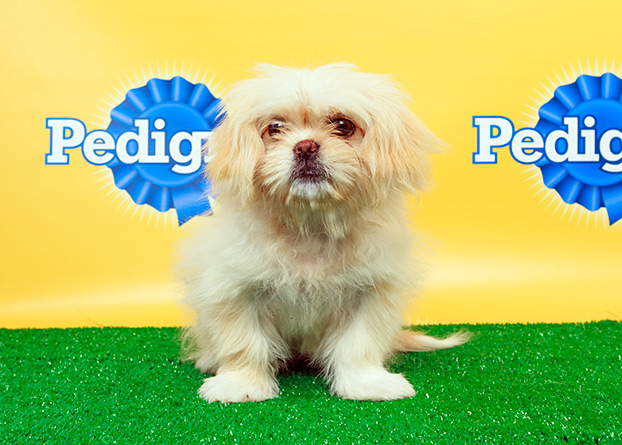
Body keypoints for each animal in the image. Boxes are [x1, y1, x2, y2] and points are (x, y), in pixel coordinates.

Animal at [178, 63, 469, 403]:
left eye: (343, 125)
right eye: (275, 127)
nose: (305, 146)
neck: (311, 226)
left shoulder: (369, 293)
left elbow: (359, 345)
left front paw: (367, 383)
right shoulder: (236, 290)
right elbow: (245, 343)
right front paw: (240, 384)